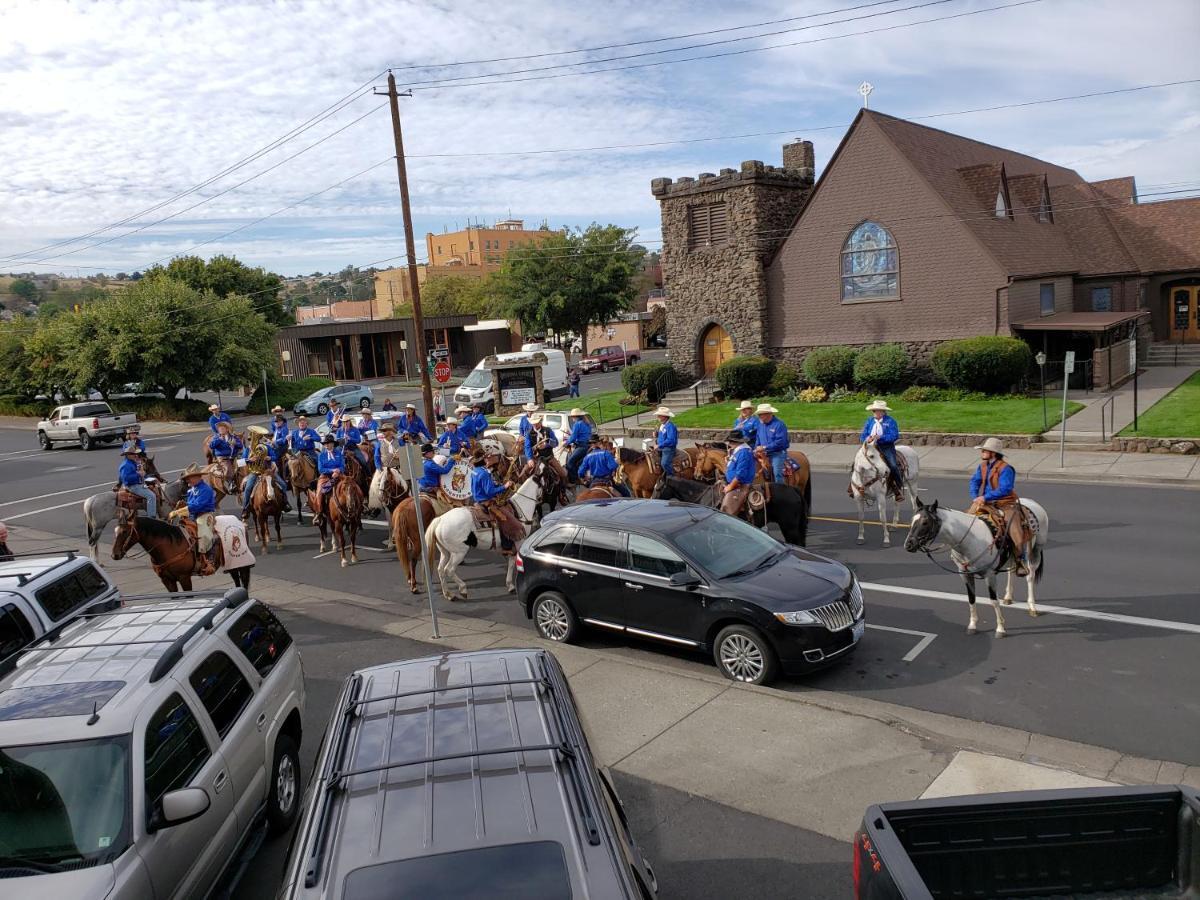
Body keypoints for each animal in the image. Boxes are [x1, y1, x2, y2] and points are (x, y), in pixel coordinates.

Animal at [422, 460, 544, 602]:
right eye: (546, 479)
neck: (519, 510)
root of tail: (440, 520)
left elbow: (510, 562)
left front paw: (509, 584)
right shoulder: (519, 541)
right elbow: (513, 563)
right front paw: (512, 585)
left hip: (445, 551)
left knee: (441, 570)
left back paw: (449, 594)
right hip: (459, 552)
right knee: (449, 570)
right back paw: (463, 589)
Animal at [902, 496, 1046, 638]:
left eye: (925, 522)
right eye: (912, 520)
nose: (908, 545)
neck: (969, 540)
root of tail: (1030, 501)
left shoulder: (989, 575)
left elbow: (994, 600)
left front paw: (1000, 628)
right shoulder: (964, 574)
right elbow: (971, 598)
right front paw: (972, 625)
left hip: (1035, 549)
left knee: (1030, 575)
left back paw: (1032, 607)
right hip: (1013, 554)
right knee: (1012, 571)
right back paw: (1008, 597)